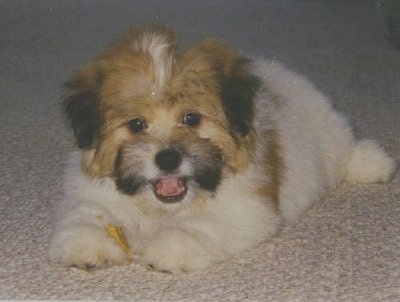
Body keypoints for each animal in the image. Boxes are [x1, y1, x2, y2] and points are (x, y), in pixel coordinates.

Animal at [48, 24, 396, 272]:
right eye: (136, 124)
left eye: (191, 118)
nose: (168, 158)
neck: (161, 210)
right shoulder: (93, 190)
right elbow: (88, 212)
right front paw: (88, 244)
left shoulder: (245, 207)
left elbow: (202, 225)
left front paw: (169, 250)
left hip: (328, 134)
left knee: (345, 151)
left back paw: (373, 163)